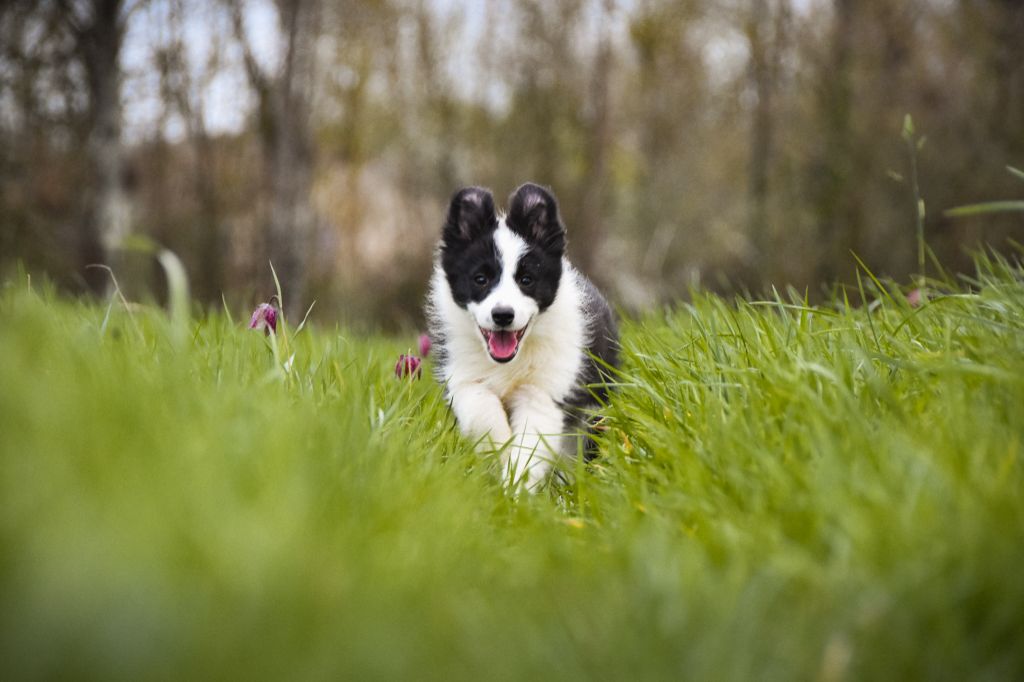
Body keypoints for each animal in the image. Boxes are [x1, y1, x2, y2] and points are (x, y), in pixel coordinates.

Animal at [423, 180, 614, 489]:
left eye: (527, 280)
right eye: (480, 279)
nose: (503, 315)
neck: (510, 362)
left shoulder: (544, 390)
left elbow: (531, 442)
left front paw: (515, 488)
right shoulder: (462, 378)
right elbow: (482, 412)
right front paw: (500, 450)